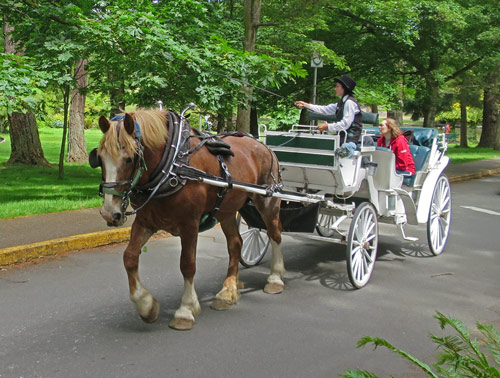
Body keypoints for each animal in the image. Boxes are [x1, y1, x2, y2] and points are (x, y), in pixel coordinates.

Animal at [94, 108, 282, 330]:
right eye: (99, 159)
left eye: (130, 159)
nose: (109, 213)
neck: (171, 166)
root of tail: (263, 145)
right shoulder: (146, 221)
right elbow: (129, 257)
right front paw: (146, 305)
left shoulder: (189, 224)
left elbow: (187, 264)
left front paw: (186, 310)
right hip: (226, 210)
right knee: (236, 244)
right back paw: (227, 291)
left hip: (267, 201)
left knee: (274, 235)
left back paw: (275, 279)